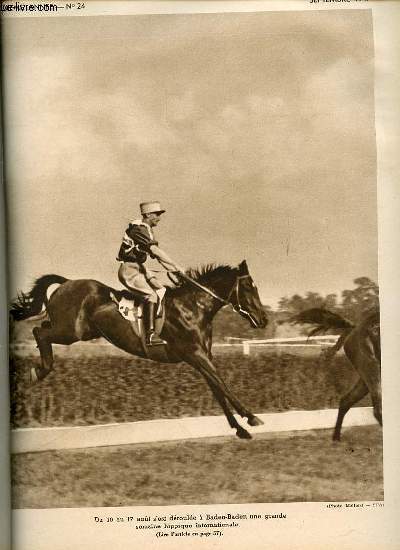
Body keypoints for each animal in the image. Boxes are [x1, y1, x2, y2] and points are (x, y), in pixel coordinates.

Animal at [10, 260, 268, 442]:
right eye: (248, 287)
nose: (264, 319)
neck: (193, 307)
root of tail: (67, 282)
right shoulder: (196, 354)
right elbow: (223, 384)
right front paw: (251, 417)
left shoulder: (200, 358)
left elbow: (217, 390)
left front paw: (239, 429)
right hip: (69, 332)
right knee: (38, 331)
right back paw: (39, 371)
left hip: (78, 331)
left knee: (42, 328)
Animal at [294, 308, 382, 442]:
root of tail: (354, 328)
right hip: (371, 368)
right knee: (377, 409)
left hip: (366, 378)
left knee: (346, 401)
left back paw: (336, 437)